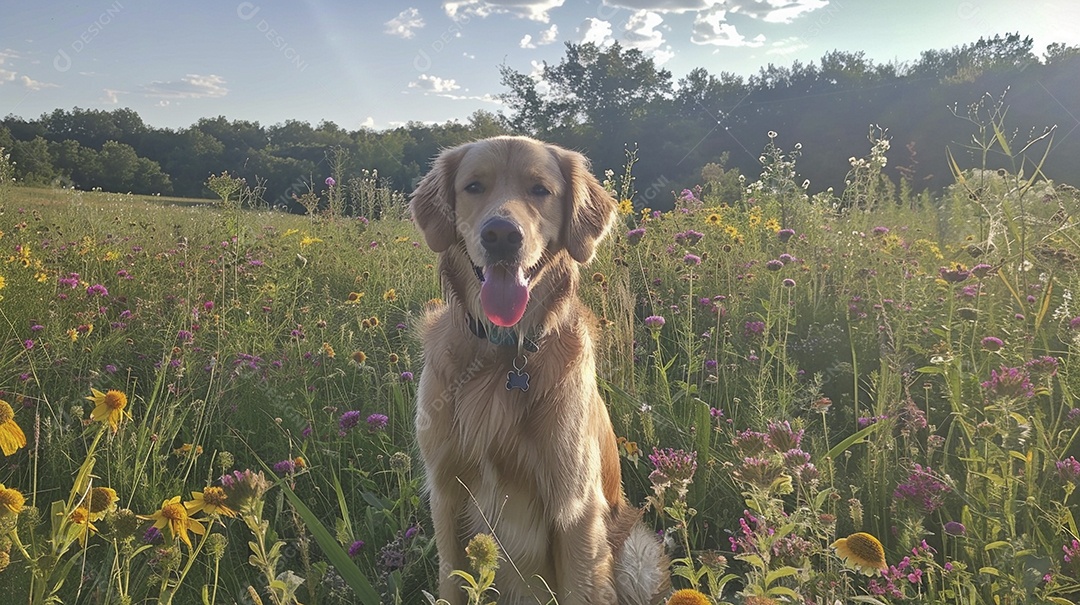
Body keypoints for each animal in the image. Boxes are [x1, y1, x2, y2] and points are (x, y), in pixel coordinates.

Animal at [410, 137, 665, 605]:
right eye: (474, 186)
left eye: (540, 190)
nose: (501, 235)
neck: (504, 354)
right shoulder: (446, 496)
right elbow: (453, 583)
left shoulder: (575, 508)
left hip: (636, 551)